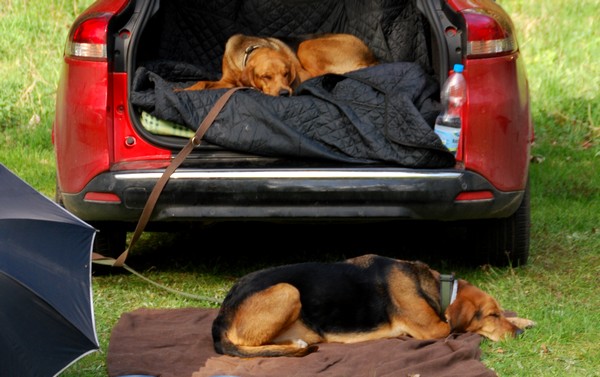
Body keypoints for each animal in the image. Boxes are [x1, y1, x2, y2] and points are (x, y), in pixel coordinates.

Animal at [180, 32, 378, 95]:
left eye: (286, 74)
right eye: (265, 76)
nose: (284, 93)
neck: (252, 48)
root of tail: (372, 57)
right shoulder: (227, 82)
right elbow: (203, 82)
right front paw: (183, 90)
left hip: (305, 46)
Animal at [211, 253, 536, 356]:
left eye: (498, 311)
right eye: (490, 315)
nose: (519, 336)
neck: (436, 287)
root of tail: (221, 315)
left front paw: (522, 321)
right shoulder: (434, 329)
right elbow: (455, 329)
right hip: (288, 291)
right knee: (245, 343)